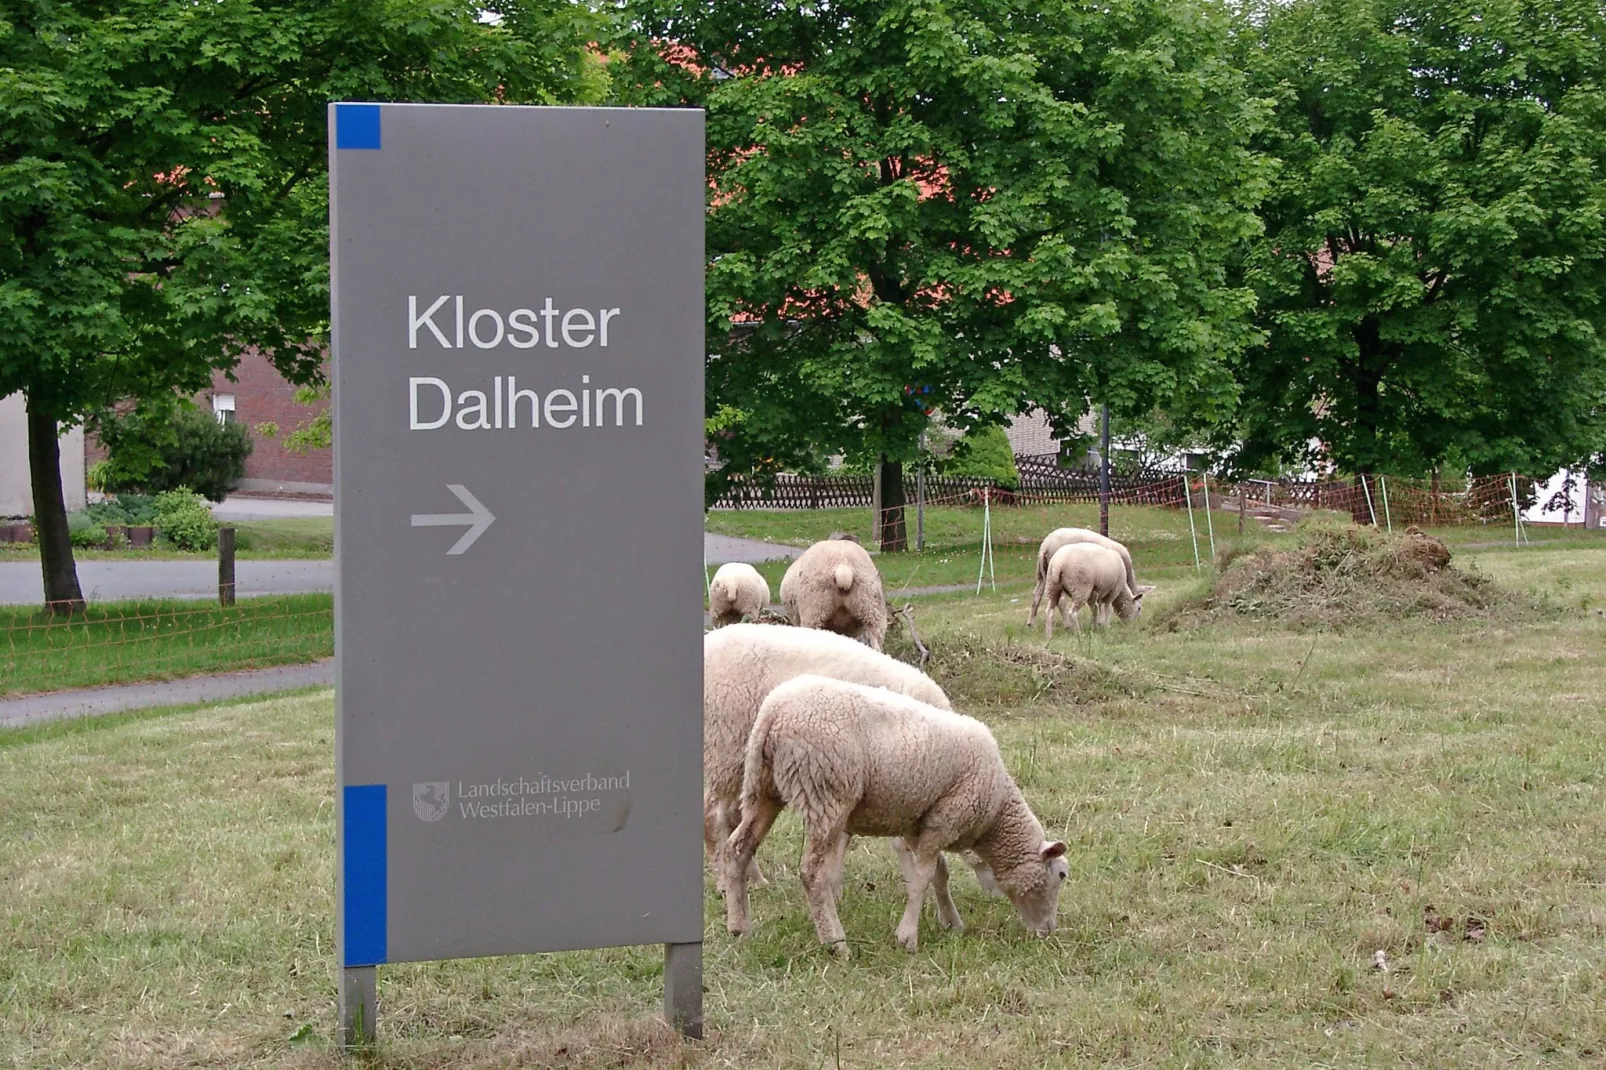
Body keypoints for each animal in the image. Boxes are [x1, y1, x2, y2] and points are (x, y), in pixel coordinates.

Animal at [729, 671, 1066, 951]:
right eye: (1062, 875)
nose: (1049, 931)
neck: (996, 813)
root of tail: (773, 713)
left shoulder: (921, 823)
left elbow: (938, 874)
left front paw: (951, 923)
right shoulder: (946, 819)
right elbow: (922, 877)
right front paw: (908, 937)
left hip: (762, 787)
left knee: (739, 848)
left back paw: (740, 926)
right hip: (826, 792)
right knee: (812, 872)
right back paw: (836, 943)